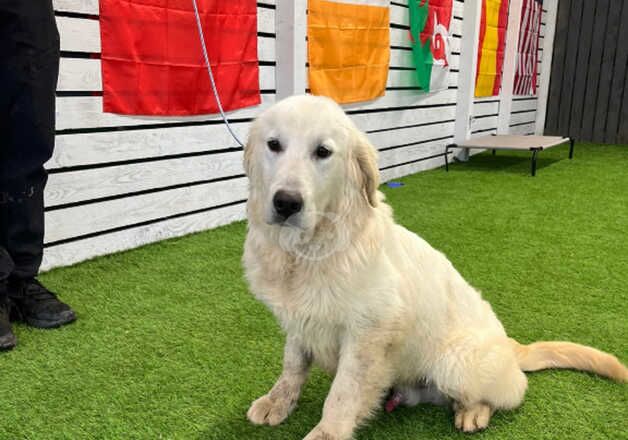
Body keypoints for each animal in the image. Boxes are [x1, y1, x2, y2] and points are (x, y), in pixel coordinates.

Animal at [242, 94, 628, 438]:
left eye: (323, 152)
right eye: (274, 145)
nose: (286, 203)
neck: (305, 252)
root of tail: (511, 345)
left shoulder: (368, 333)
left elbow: (342, 395)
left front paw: (327, 433)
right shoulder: (299, 319)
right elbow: (293, 365)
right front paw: (277, 401)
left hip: (455, 362)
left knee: (510, 392)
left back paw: (473, 412)